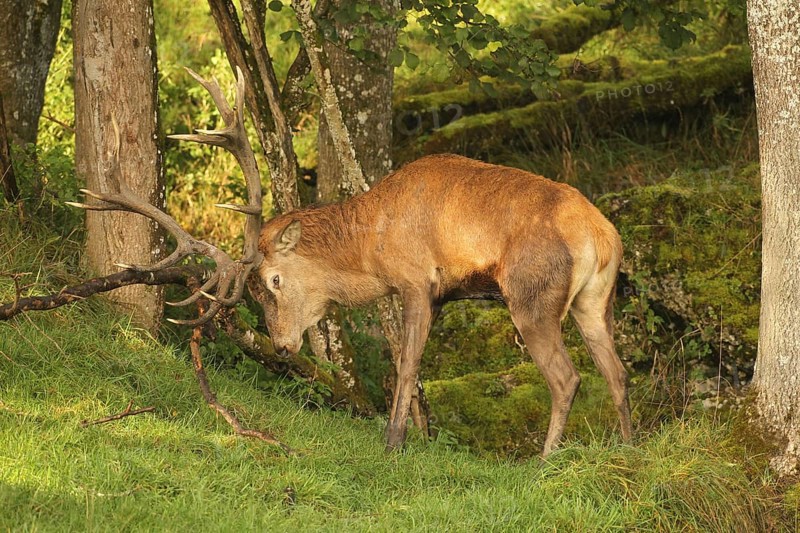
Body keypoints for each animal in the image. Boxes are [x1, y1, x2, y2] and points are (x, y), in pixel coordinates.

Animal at [70, 67, 632, 457]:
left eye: (273, 280)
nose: (281, 344)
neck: (371, 245)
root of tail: (601, 235)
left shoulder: (415, 281)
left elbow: (406, 365)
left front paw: (393, 442)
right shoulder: (436, 295)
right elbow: (409, 367)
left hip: (532, 295)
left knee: (567, 378)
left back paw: (545, 459)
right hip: (595, 301)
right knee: (618, 371)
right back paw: (629, 448)